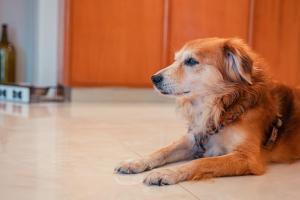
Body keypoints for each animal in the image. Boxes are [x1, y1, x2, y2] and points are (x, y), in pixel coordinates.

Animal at [113, 37, 298, 186]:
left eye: (191, 61)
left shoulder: (247, 157)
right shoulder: (194, 139)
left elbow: (204, 162)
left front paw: (167, 173)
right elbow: (162, 150)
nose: (153, 78)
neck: (224, 107)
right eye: (175, 60)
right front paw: (136, 162)